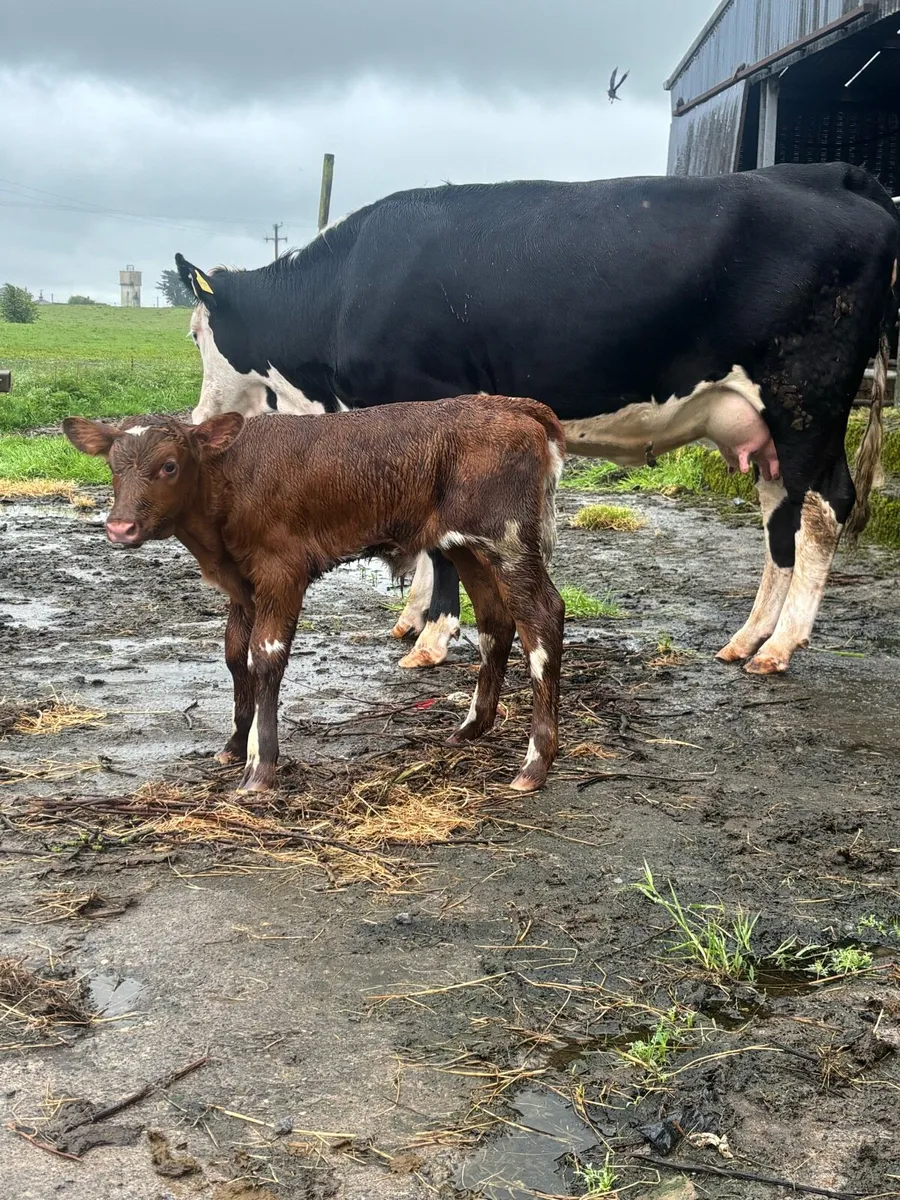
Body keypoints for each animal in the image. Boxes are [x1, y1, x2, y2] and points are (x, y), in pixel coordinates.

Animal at [62, 396, 567, 794]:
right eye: (112, 467)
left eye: (168, 465)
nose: (120, 528)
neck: (227, 480)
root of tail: (513, 405)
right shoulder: (242, 586)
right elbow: (234, 654)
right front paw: (233, 744)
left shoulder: (282, 571)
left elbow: (265, 656)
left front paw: (259, 766)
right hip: (464, 546)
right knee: (495, 621)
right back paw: (472, 727)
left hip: (506, 537)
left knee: (542, 616)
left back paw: (535, 763)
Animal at [175, 160, 899, 678]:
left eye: (197, 334)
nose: (199, 418)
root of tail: (830, 173)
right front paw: (420, 618)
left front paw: (433, 637)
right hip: (769, 425)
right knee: (782, 514)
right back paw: (748, 637)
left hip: (806, 398)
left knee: (822, 509)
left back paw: (781, 646)